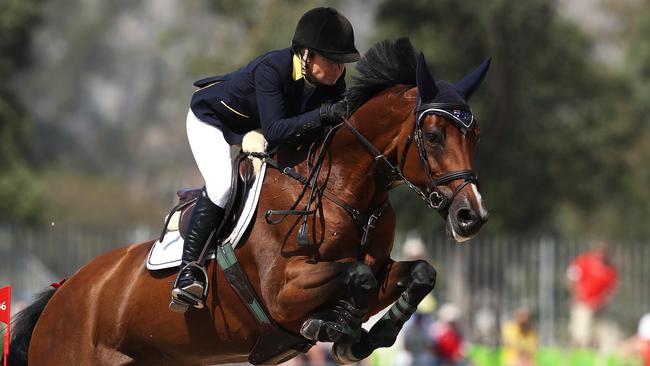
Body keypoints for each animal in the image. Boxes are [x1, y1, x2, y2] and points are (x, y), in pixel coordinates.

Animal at [5, 38, 486, 364]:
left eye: (475, 135)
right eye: (433, 135)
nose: (471, 217)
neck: (345, 190)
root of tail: (63, 292)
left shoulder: (381, 265)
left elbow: (420, 273)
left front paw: (367, 336)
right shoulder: (282, 292)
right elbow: (356, 277)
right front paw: (340, 325)